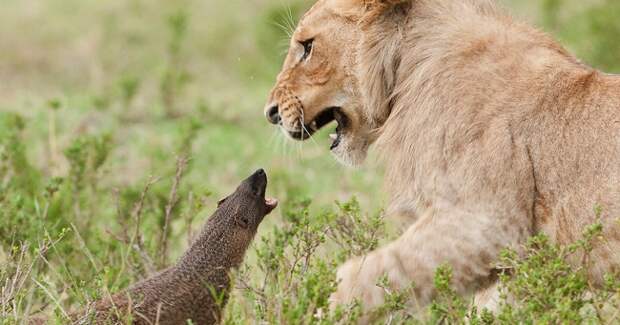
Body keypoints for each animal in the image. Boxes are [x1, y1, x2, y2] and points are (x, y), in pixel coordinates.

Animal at [264, 0, 620, 316]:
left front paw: (315, 309)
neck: (407, 68)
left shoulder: (487, 221)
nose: (271, 113)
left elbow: (367, 274)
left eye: (307, 47)